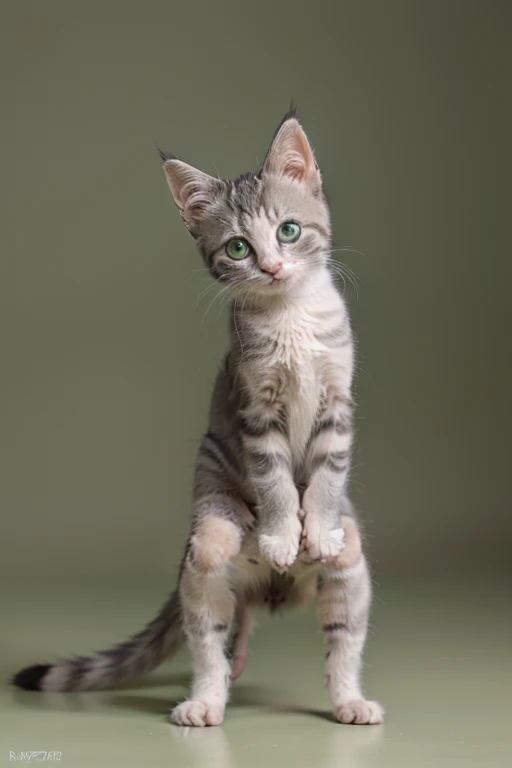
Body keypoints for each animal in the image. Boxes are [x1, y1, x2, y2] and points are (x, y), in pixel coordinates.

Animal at [12, 112, 382, 728]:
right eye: (237, 247)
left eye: (288, 231)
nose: (273, 267)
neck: (291, 320)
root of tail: (271, 589)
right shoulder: (255, 410)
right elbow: (276, 481)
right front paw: (283, 533)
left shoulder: (337, 403)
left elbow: (326, 477)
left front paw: (318, 527)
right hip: (207, 541)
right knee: (211, 628)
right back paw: (207, 696)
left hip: (349, 576)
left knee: (340, 644)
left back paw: (348, 698)